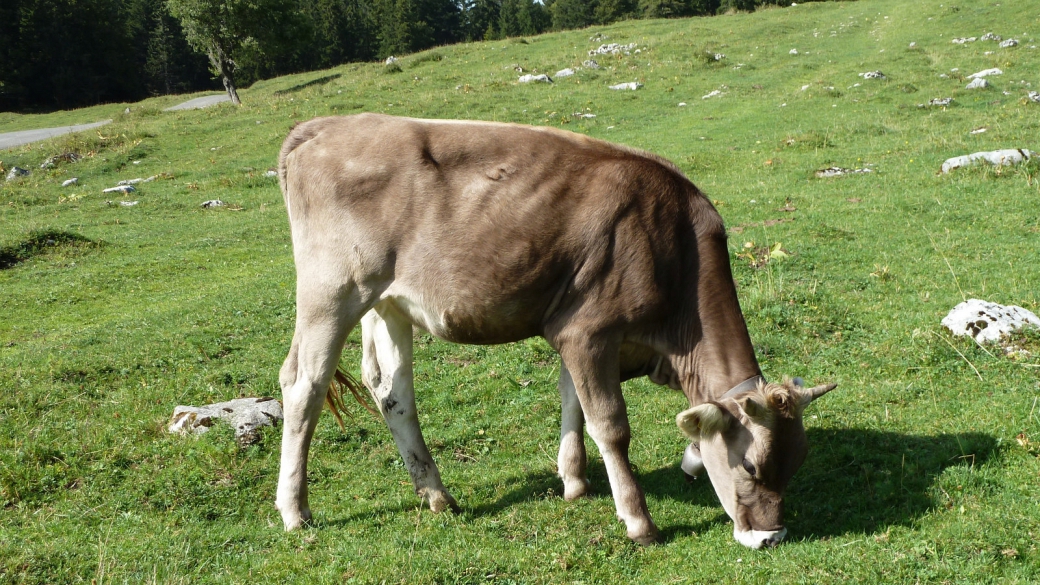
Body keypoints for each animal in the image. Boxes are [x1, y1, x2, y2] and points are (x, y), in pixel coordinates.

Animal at [276, 113, 836, 545]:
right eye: (750, 467)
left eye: (798, 462)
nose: (771, 535)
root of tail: (319, 126)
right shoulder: (586, 331)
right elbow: (610, 424)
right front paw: (638, 520)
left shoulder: (575, 334)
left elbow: (574, 404)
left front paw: (576, 482)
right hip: (332, 291)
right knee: (303, 383)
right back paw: (295, 511)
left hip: (388, 302)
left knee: (393, 393)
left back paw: (437, 494)